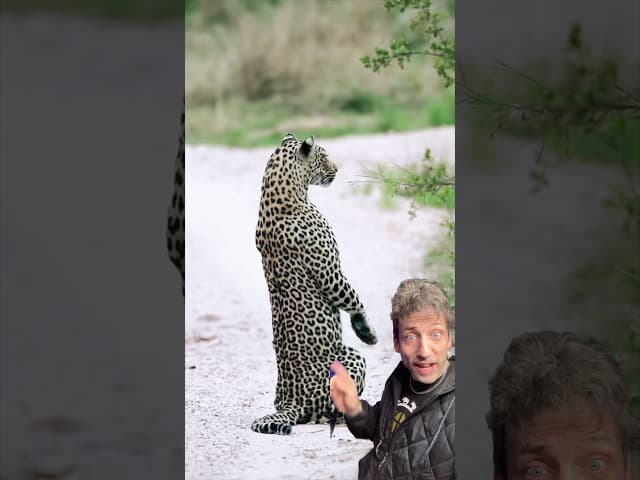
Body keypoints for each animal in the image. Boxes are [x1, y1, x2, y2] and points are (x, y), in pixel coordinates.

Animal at [251, 133, 378, 435]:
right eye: (324, 156)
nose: (337, 168)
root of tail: (292, 403)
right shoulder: (330, 272)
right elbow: (353, 298)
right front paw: (366, 330)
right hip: (351, 357)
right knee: (327, 411)